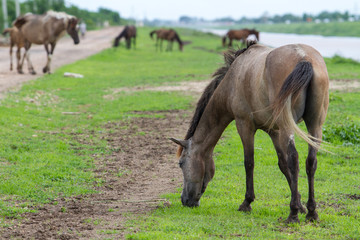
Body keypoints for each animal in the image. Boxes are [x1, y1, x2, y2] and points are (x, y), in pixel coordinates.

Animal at [171, 42, 330, 224]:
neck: (233, 80)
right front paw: (300, 204)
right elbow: (283, 165)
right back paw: (311, 212)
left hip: (287, 127)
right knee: (310, 162)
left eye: (181, 163)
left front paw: (247, 202)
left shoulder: (244, 125)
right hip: (315, 126)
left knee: (294, 160)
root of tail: (304, 58)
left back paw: (293, 214)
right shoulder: (273, 131)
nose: (185, 200)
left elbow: (249, 162)